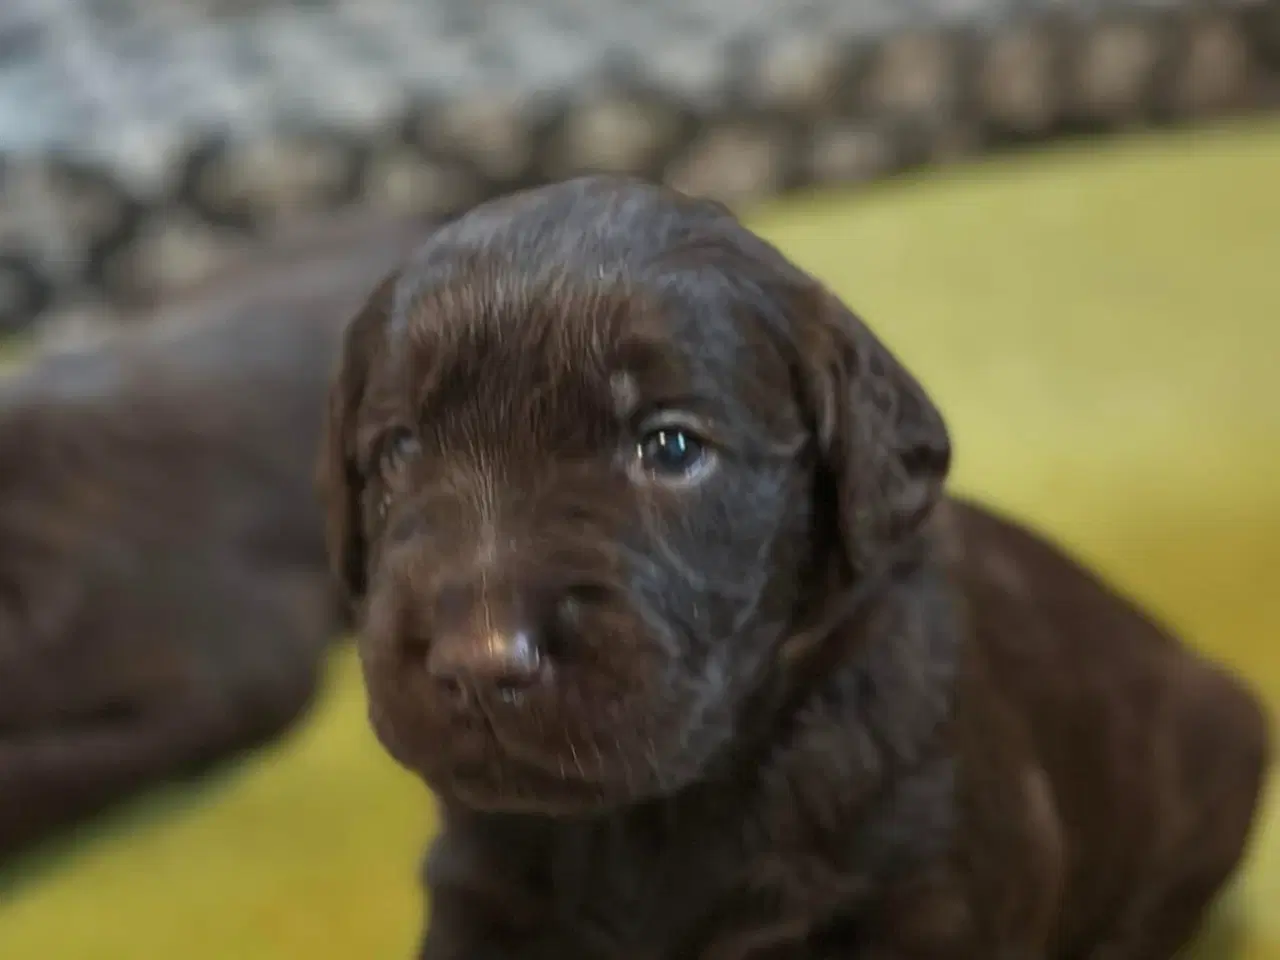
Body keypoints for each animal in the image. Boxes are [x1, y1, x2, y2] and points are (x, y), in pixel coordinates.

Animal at [322, 179, 1269, 960]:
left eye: (671, 447)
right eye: (399, 450)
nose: (480, 664)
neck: (646, 822)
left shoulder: (939, 891)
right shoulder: (481, 893)